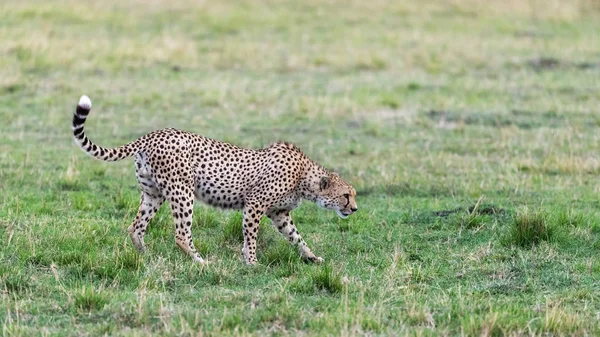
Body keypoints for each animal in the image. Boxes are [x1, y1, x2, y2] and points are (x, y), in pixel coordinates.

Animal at [72, 95, 358, 266]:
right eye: (346, 195)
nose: (354, 209)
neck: (304, 177)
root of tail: (154, 134)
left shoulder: (279, 213)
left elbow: (296, 236)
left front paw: (311, 257)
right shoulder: (254, 205)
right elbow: (251, 235)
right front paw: (251, 262)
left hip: (153, 193)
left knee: (136, 226)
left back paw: (145, 256)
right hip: (182, 191)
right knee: (181, 234)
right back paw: (200, 262)